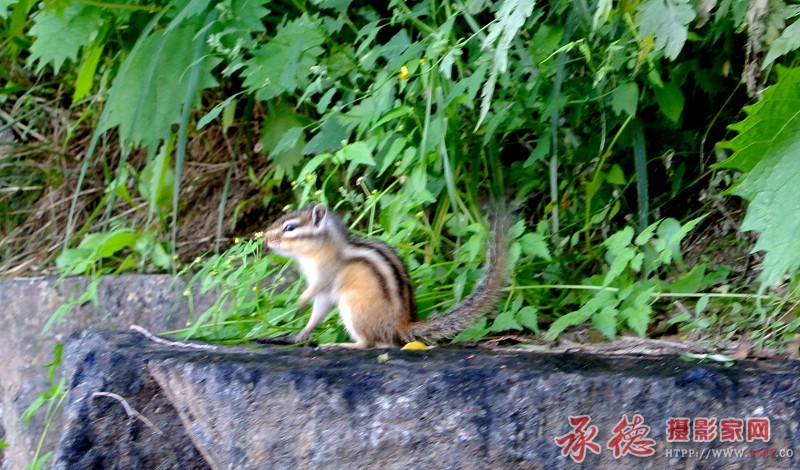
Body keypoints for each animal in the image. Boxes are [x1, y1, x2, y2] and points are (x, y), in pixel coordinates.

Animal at [263, 203, 509, 348]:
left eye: (290, 228)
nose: (264, 238)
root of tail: (400, 324)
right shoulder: (325, 292)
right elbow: (317, 312)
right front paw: (298, 335)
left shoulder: (326, 276)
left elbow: (314, 293)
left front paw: (298, 303)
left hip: (352, 307)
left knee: (367, 343)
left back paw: (342, 345)